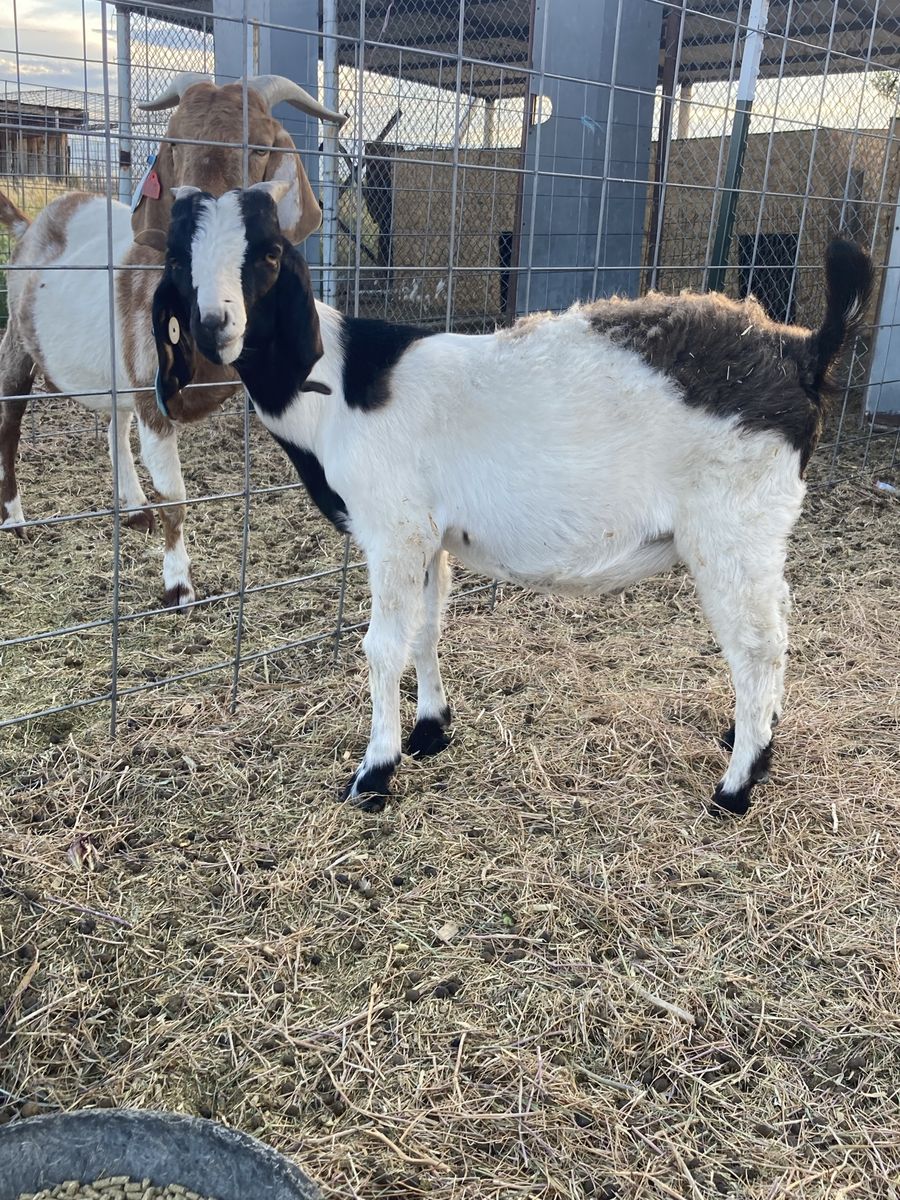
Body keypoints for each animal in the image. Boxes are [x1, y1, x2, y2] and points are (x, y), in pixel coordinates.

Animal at [0, 74, 345, 608]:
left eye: (260, 146)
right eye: (175, 140)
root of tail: (31, 223)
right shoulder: (153, 394)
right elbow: (176, 496)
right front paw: (179, 585)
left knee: (114, 428)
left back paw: (133, 508)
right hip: (18, 339)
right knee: (10, 423)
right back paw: (16, 520)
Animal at [152, 182, 873, 815]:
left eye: (270, 254)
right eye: (177, 259)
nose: (215, 327)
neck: (340, 387)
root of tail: (801, 350)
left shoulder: (393, 529)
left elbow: (383, 646)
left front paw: (374, 774)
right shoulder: (431, 536)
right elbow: (427, 628)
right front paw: (431, 729)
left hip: (732, 524)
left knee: (756, 645)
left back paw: (737, 785)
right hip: (758, 530)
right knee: (776, 623)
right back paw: (752, 736)